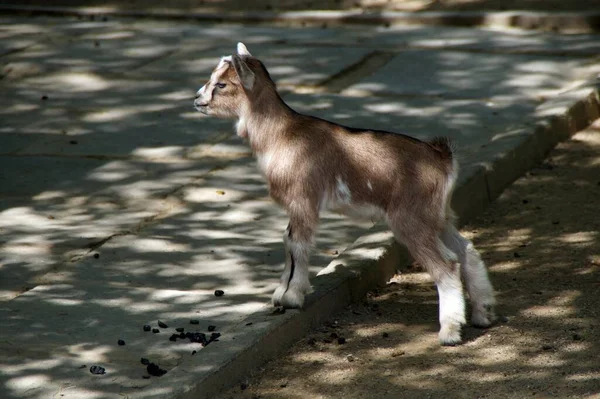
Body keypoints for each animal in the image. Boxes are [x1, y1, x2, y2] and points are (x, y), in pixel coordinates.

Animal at [195, 42, 494, 346]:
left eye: (221, 84)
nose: (197, 99)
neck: (280, 134)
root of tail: (443, 159)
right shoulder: (297, 205)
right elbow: (288, 240)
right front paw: (281, 294)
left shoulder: (303, 200)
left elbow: (297, 244)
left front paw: (292, 296)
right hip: (439, 216)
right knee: (466, 250)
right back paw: (483, 314)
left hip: (411, 218)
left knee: (447, 265)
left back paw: (449, 332)